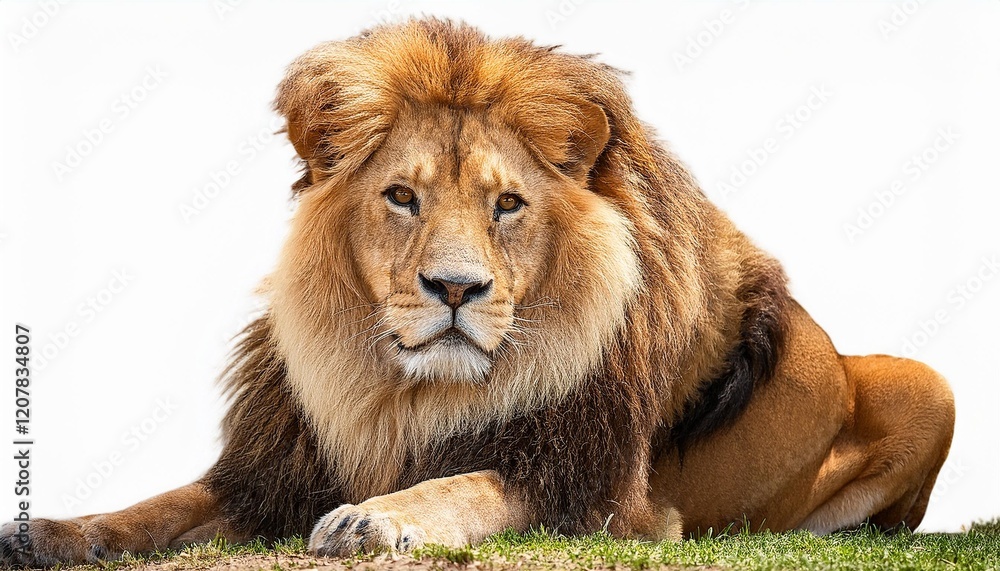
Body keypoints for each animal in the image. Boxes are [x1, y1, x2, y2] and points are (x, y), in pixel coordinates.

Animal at [0, 19, 955, 566]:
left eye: (507, 204)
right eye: (401, 196)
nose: (454, 287)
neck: (402, 397)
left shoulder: (600, 492)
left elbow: (470, 483)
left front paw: (372, 520)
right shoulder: (276, 468)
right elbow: (159, 504)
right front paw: (54, 528)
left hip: (931, 381)